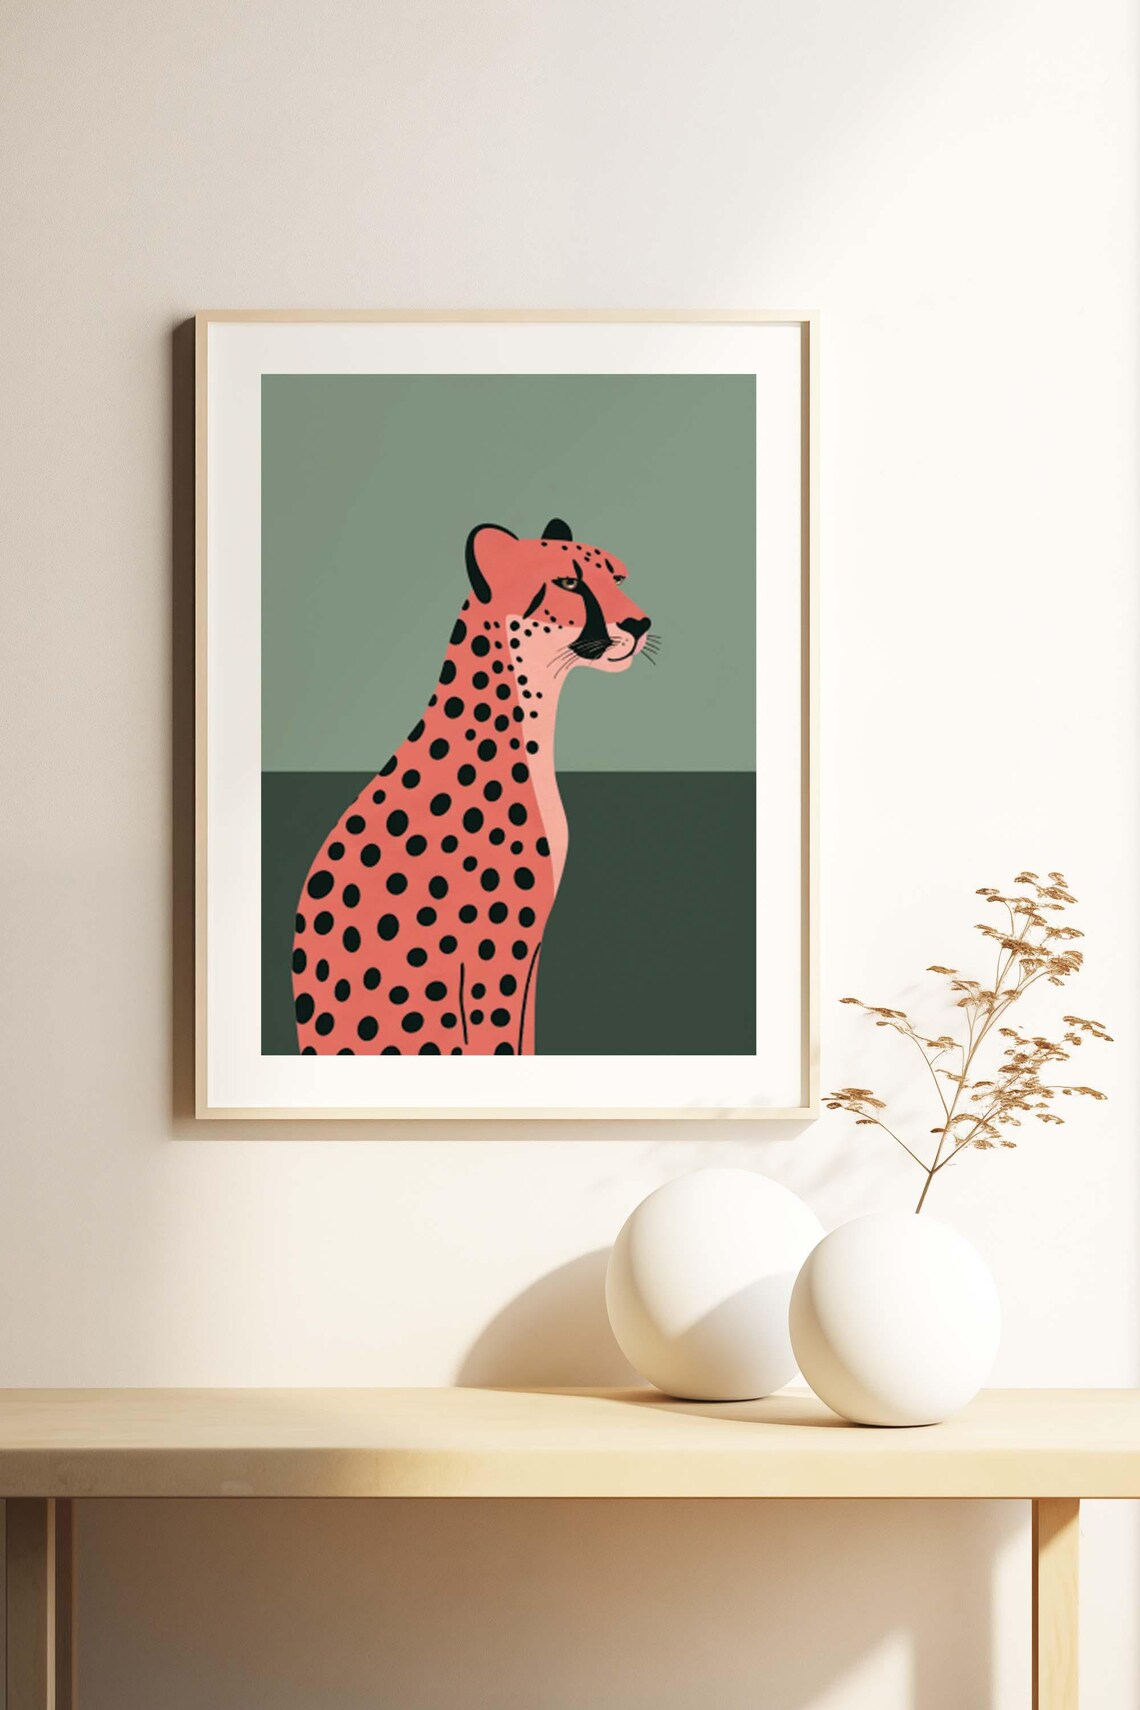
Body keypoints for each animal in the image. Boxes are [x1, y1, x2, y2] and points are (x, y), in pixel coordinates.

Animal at [291, 518, 653, 1056]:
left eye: (618, 579)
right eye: (569, 583)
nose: (638, 624)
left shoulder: (531, 945)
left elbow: (523, 1034)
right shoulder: (495, 946)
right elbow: (499, 1039)